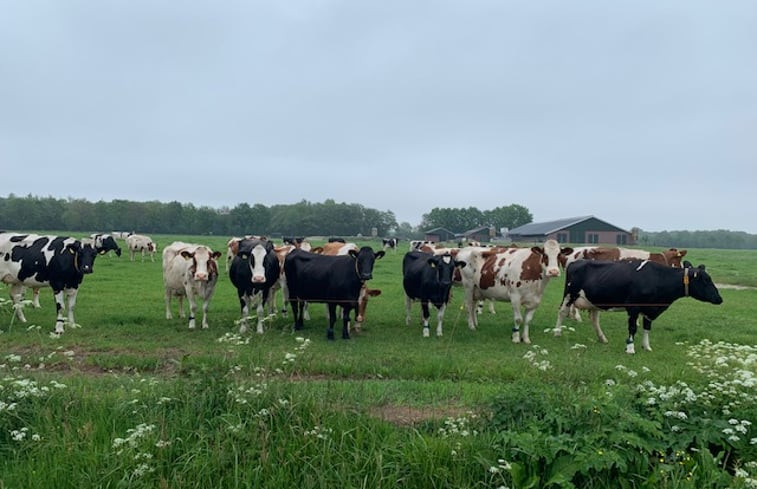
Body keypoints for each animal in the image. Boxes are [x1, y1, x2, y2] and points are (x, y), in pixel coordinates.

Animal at [552, 260, 724, 350]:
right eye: (706, 280)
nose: (720, 299)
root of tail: (576, 261)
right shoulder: (633, 307)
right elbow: (633, 328)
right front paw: (630, 348)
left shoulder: (650, 309)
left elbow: (647, 328)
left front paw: (646, 347)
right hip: (569, 294)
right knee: (562, 311)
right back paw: (557, 332)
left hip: (594, 300)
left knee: (594, 319)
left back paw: (602, 338)